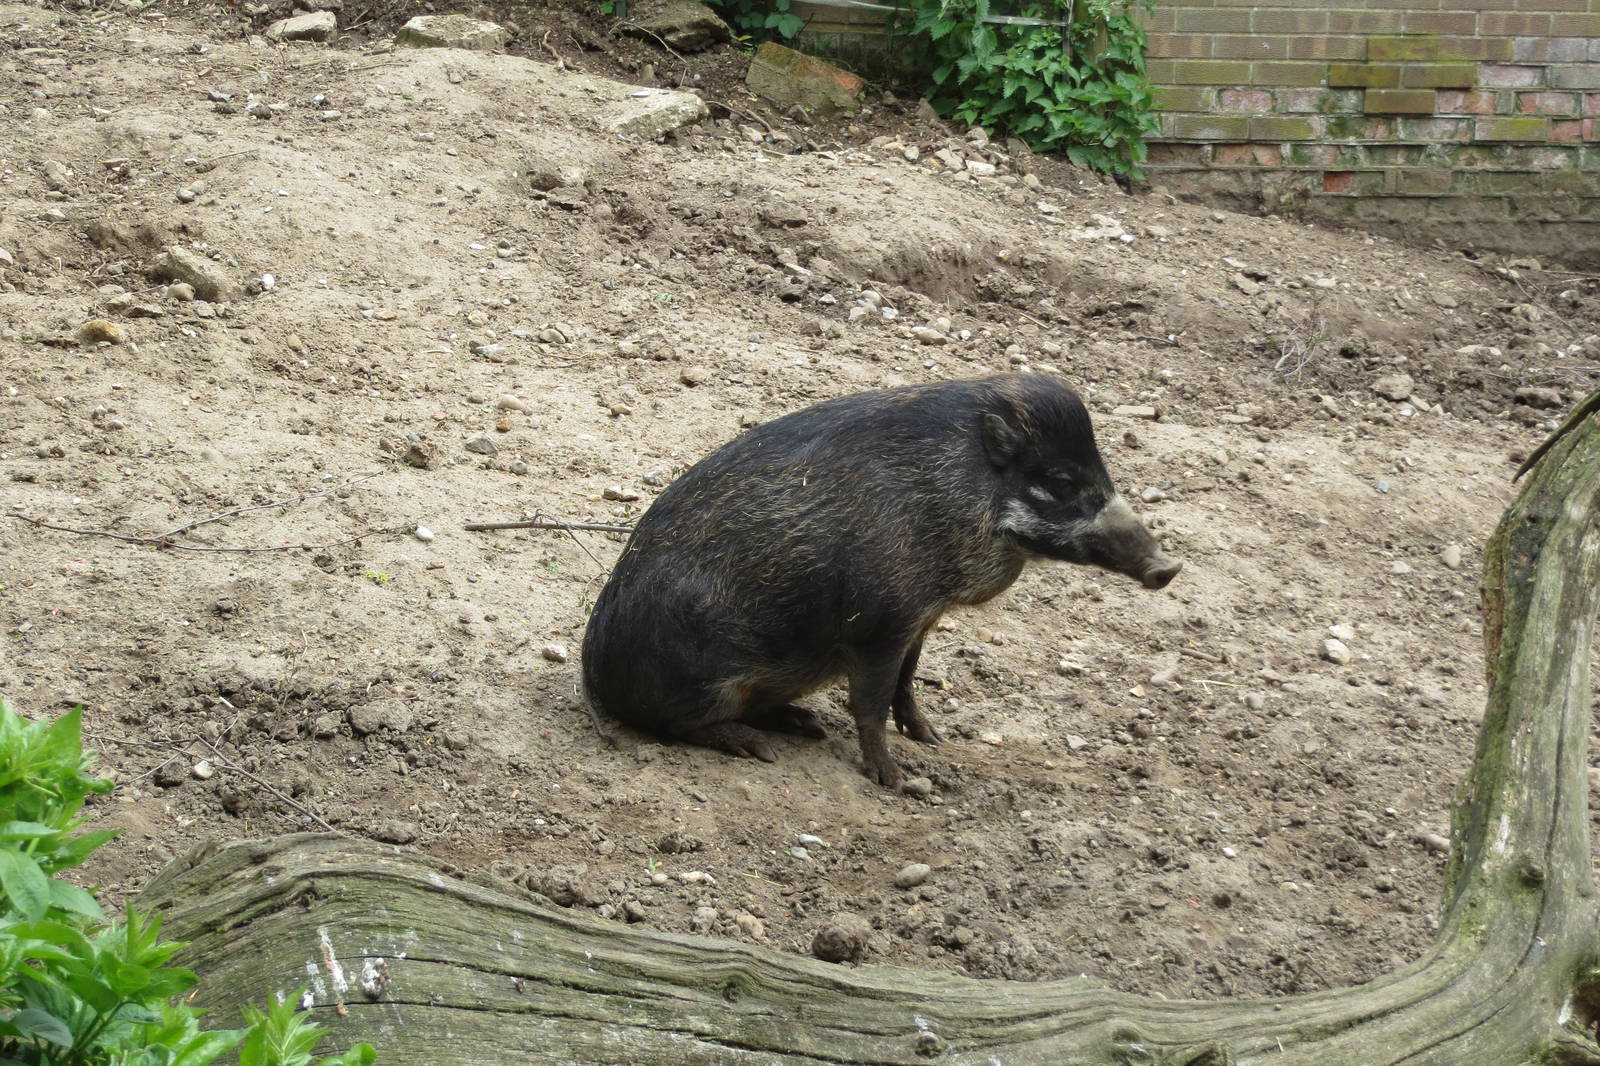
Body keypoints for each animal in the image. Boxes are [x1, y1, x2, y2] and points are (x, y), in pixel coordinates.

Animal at [580, 374, 1180, 789]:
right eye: (1060, 481)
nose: (1167, 568)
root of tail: (595, 678)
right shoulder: (879, 623)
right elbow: (870, 702)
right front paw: (895, 781)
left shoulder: (919, 621)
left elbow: (906, 684)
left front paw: (932, 738)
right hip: (697, 680)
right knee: (681, 725)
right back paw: (765, 747)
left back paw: (806, 724)